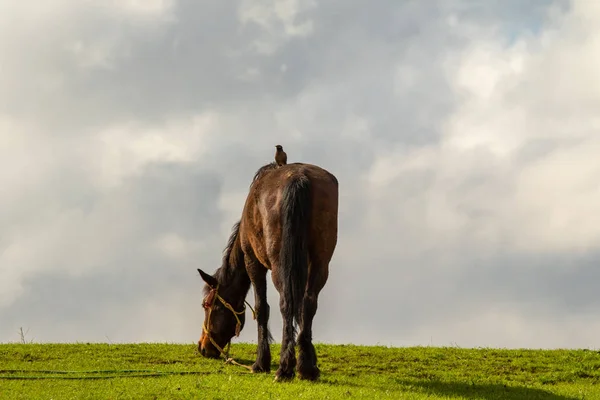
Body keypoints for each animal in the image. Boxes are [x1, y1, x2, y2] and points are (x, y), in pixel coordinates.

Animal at [197, 160, 338, 382]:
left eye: (207, 304)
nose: (202, 347)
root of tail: (298, 178)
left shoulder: (253, 262)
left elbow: (261, 308)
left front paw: (261, 362)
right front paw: (310, 360)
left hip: (278, 264)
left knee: (286, 304)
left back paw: (284, 368)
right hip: (320, 262)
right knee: (308, 303)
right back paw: (305, 369)